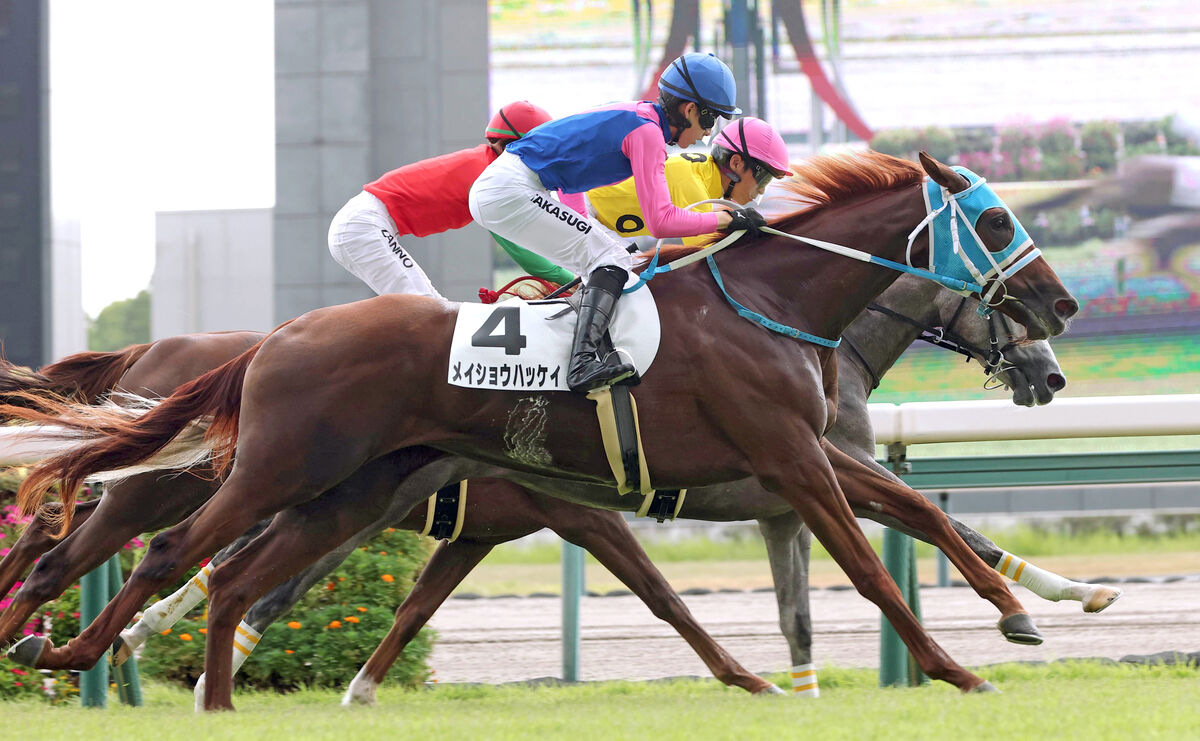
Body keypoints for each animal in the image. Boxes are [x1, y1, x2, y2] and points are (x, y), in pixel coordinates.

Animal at [4, 152, 1079, 709]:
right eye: (992, 224)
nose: (1060, 320)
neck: (770, 305)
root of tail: (273, 340)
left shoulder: (798, 461)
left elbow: (922, 517)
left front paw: (1023, 609)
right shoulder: (782, 464)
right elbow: (856, 566)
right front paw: (952, 666)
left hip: (343, 493)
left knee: (222, 576)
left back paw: (177, 687)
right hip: (271, 469)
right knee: (170, 553)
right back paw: (86, 653)